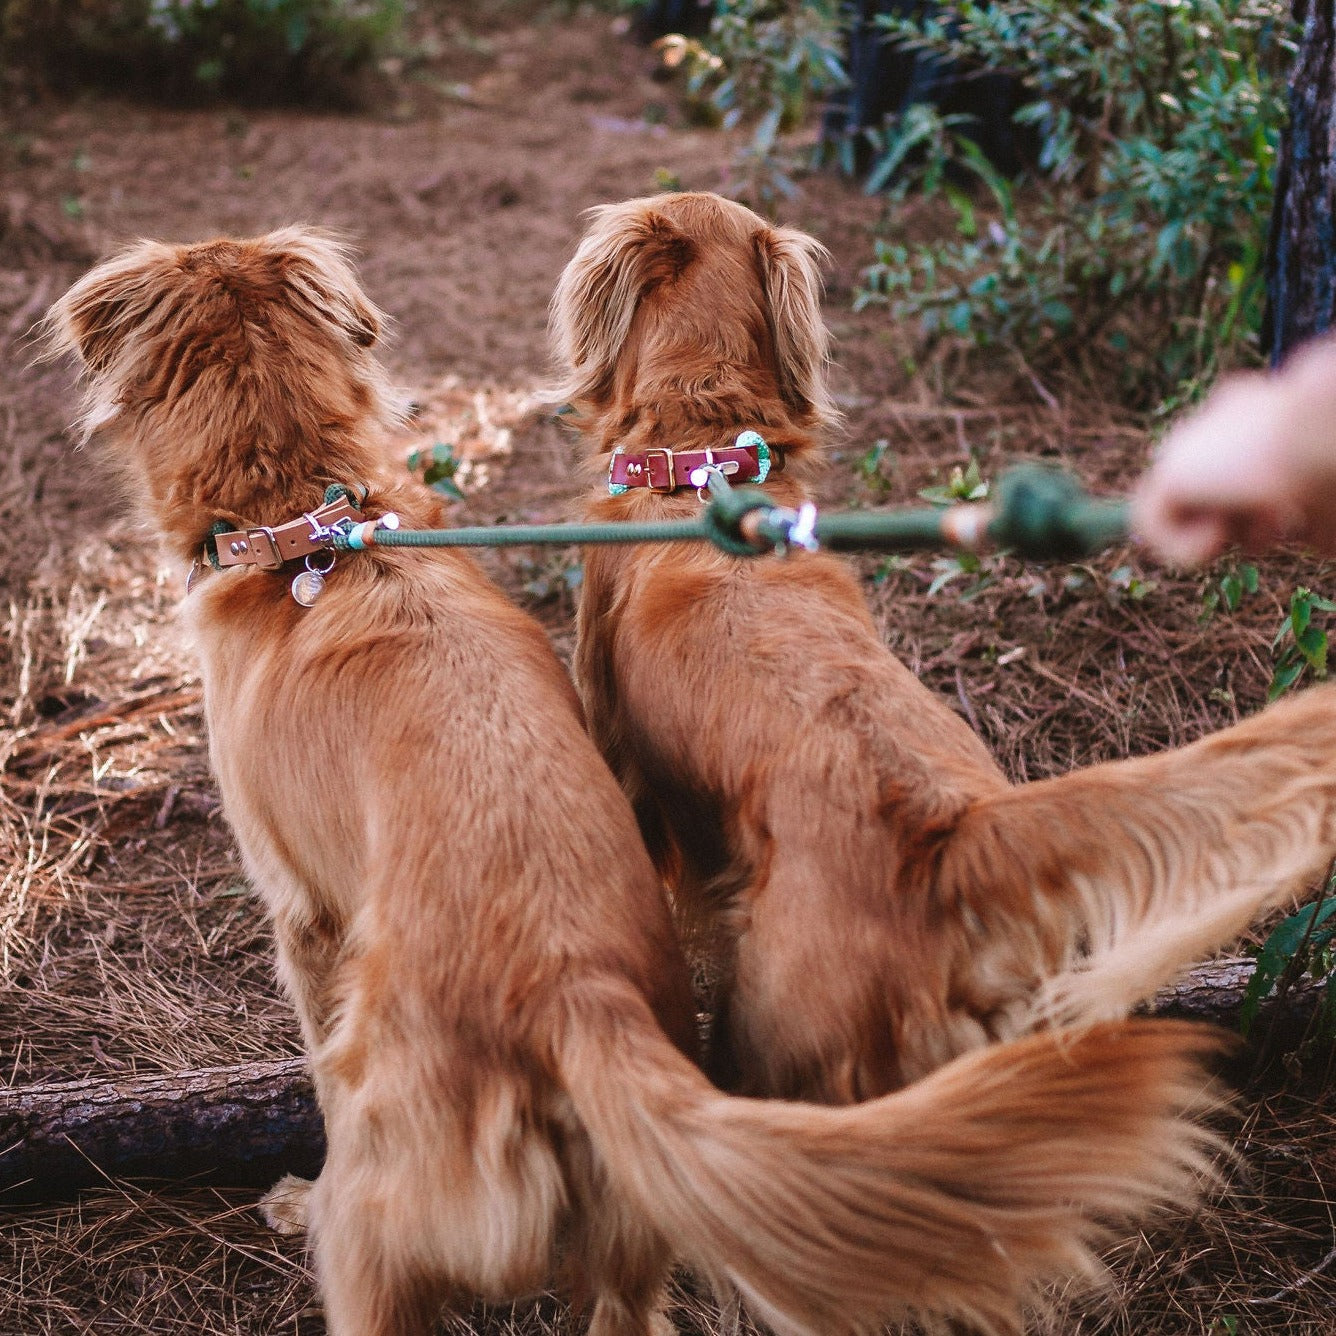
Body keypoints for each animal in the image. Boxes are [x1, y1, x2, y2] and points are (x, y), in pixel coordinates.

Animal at [47, 227, 1223, 1336]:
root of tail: (575, 993)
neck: (308, 528)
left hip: (393, 1233)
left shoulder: (304, 915)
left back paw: (306, 1204)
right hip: (653, 1219)